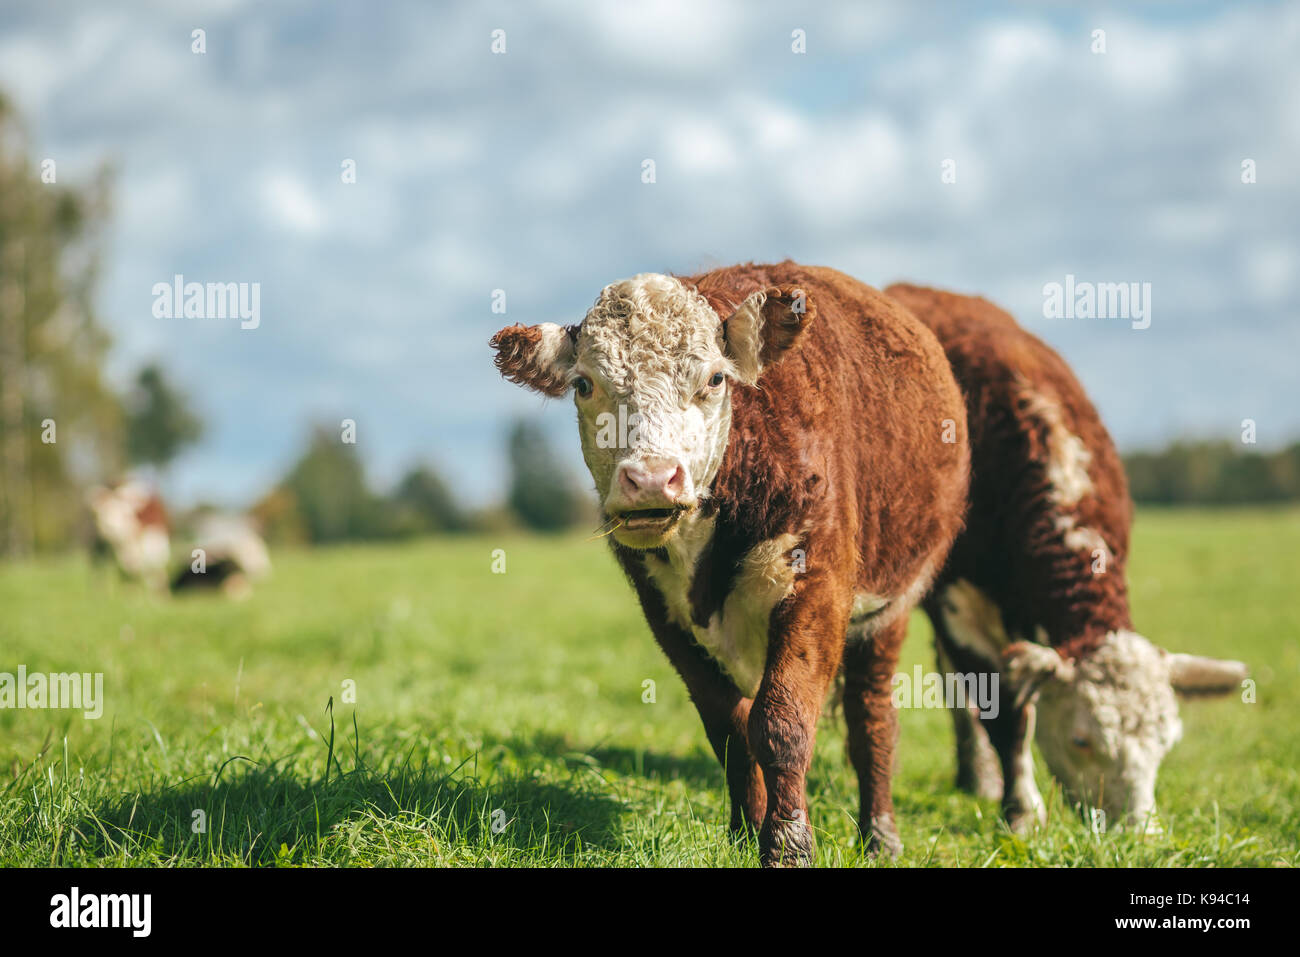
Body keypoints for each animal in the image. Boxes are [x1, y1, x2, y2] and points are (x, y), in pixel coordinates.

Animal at [491, 262, 969, 865]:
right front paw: (745, 834)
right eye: (584, 385)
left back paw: (880, 836)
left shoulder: (819, 588)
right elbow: (730, 731)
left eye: (715, 379)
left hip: (889, 608)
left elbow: (782, 723)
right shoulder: (664, 612)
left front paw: (788, 843)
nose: (651, 478)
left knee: (872, 717)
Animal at [886, 283, 1248, 834]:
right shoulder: (959, 603)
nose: (1139, 832)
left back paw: (977, 777)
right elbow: (1007, 713)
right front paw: (1022, 812)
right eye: (1082, 740)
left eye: (1165, 743)